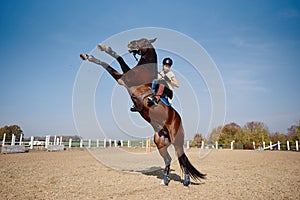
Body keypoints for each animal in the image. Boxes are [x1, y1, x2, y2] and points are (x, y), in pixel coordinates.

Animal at [79, 38, 206, 186]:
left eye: (143, 41)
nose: (130, 44)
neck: (145, 69)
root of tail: (178, 119)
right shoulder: (121, 79)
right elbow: (108, 64)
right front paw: (90, 55)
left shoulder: (126, 78)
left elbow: (119, 59)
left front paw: (104, 49)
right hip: (160, 142)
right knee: (168, 159)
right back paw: (165, 180)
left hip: (177, 140)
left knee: (183, 158)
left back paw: (186, 180)